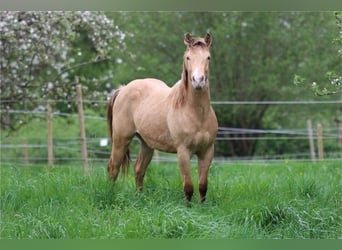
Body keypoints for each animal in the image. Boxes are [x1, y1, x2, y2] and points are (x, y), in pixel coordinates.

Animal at [107, 32, 218, 203]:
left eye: (208, 57)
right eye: (188, 57)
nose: (198, 81)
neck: (196, 113)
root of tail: (124, 89)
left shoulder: (207, 151)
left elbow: (202, 186)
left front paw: (202, 207)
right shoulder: (183, 152)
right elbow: (188, 187)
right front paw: (189, 208)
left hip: (146, 144)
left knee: (139, 169)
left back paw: (140, 198)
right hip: (121, 140)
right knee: (113, 168)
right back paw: (111, 196)